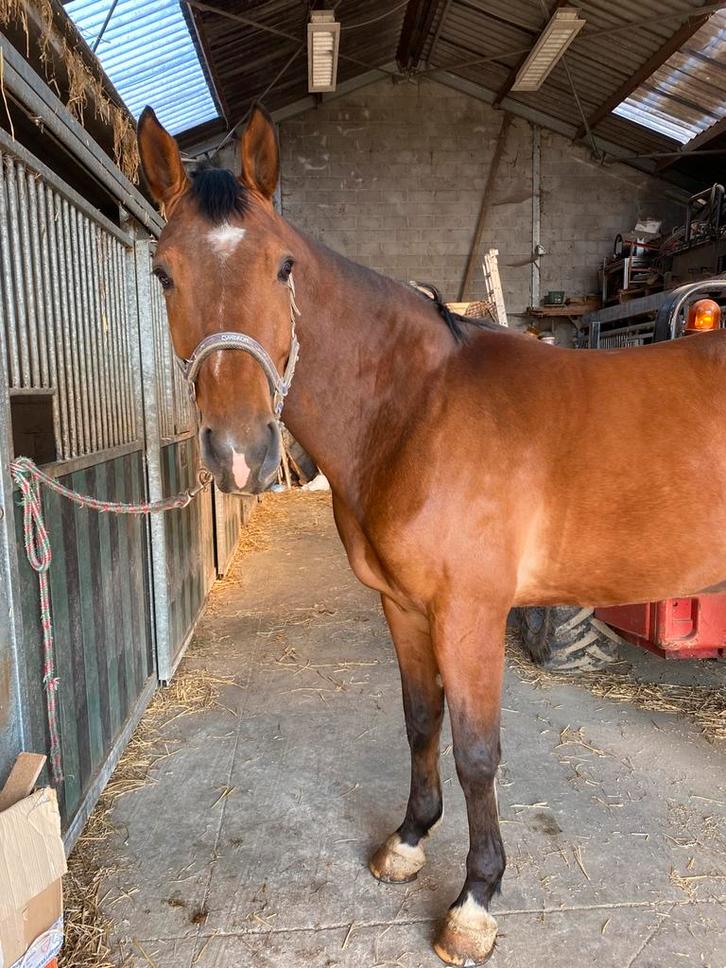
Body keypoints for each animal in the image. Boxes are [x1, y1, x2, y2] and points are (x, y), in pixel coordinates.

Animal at [137, 105, 726, 966]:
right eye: (163, 274)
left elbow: (477, 753)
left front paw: (474, 902)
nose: (241, 452)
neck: (418, 409)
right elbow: (421, 720)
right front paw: (409, 841)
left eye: (283, 268)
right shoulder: (404, 607)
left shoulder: (470, 614)